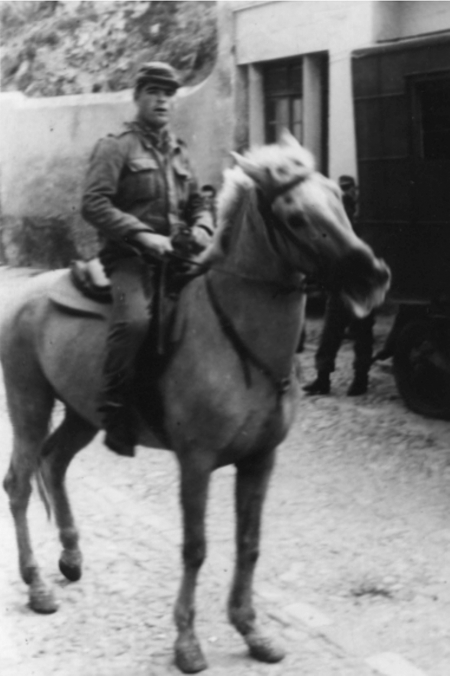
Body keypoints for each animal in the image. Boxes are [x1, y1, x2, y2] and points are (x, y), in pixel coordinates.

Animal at [1, 131, 390, 673]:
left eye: (339, 197)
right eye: (294, 216)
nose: (372, 277)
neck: (235, 336)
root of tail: (25, 293)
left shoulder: (260, 460)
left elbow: (249, 544)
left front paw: (252, 630)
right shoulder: (196, 461)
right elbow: (196, 547)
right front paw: (187, 641)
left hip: (82, 413)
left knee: (53, 464)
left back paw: (71, 559)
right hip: (29, 404)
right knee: (18, 483)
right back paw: (37, 585)